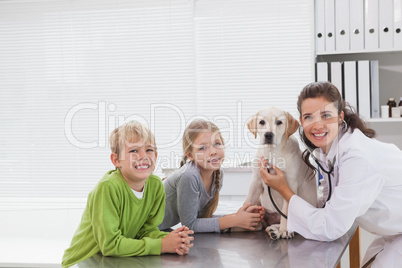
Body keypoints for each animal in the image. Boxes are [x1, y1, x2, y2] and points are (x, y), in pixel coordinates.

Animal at [245, 108, 318, 240]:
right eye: (261, 122)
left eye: (279, 122)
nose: (268, 135)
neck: (272, 153)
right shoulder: (256, 181)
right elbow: (247, 202)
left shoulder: (289, 184)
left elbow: (285, 210)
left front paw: (285, 230)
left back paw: (277, 230)